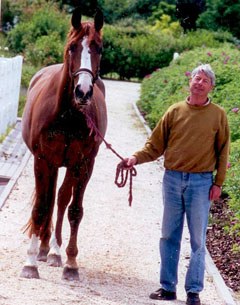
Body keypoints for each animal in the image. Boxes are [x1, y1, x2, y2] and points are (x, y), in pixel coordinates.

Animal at [20, 7, 107, 280]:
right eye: (72, 47)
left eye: (99, 48)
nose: (83, 92)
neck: (67, 114)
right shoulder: (42, 160)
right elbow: (40, 207)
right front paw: (30, 263)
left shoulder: (83, 164)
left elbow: (74, 210)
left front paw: (70, 263)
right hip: (52, 164)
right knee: (48, 200)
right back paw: (42, 249)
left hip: (67, 166)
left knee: (60, 198)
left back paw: (54, 251)